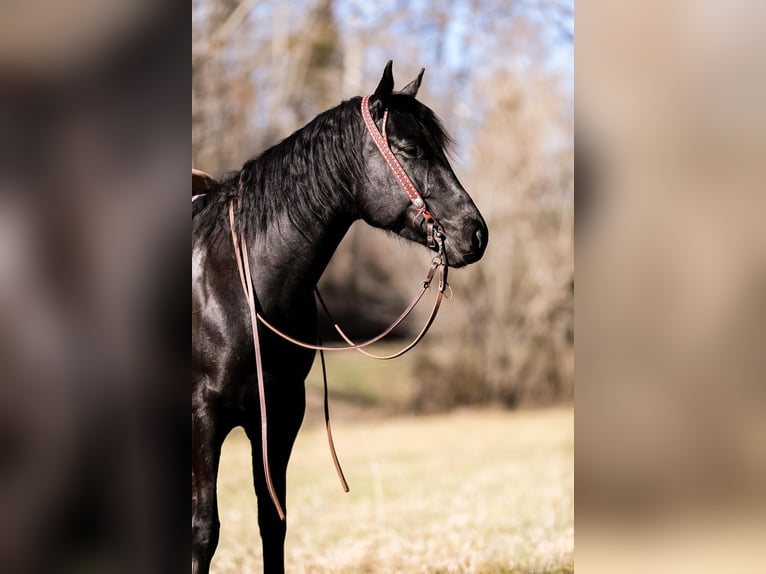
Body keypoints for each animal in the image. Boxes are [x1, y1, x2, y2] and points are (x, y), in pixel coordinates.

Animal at [194, 60, 492, 572]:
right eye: (411, 148)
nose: (475, 233)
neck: (239, 283)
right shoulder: (205, 415)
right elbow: (204, 532)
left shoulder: (281, 415)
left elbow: (273, 522)